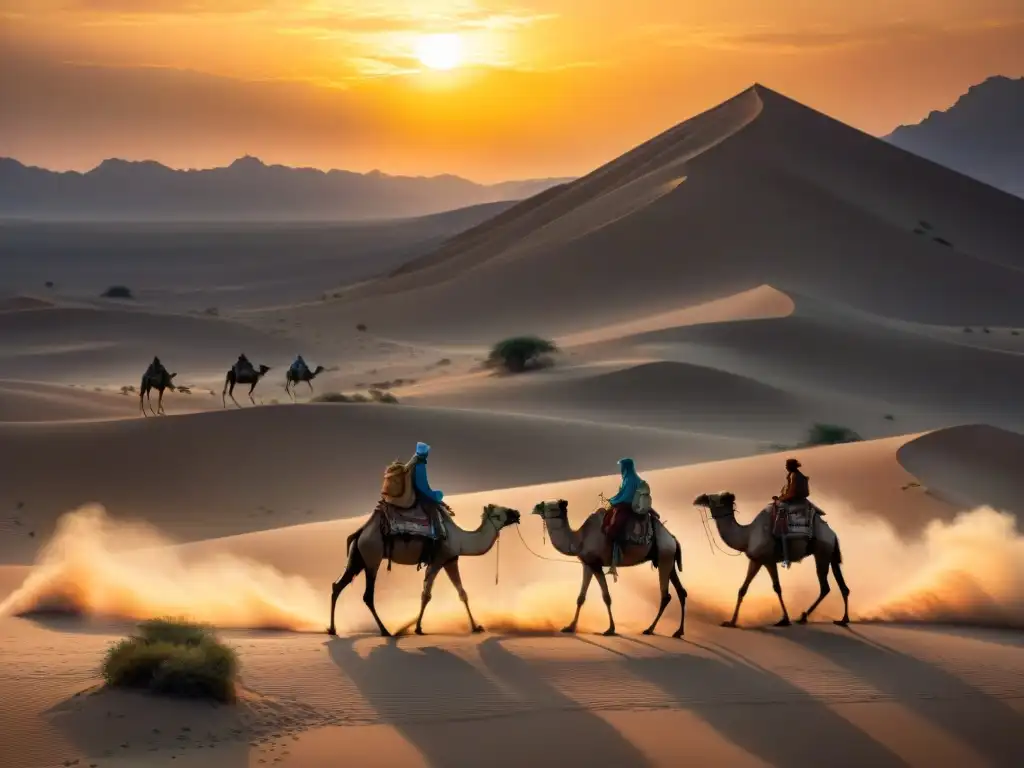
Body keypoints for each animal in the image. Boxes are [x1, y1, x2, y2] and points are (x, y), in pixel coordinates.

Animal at [327, 505, 520, 638]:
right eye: (499, 514)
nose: (517, 513)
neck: (460, 539)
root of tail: (360, 532)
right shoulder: (438, 560)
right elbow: (426, 595)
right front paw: (418, 628)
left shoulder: (450, 560)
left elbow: (462, 593)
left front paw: (476, 627)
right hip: (372, 556)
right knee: (367, 595)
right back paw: (386, 631)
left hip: (358, 557)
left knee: (337, 585)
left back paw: (332, 629)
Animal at [528, 499, 688, 638]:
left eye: (550, 505)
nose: (535, 507)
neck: (579, 540)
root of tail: (673, 539)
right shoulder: (588, 564)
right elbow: (581, 598)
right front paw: (570, 627)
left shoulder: (596, 565)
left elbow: (606, 597)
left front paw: (610, 629)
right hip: (668, 560)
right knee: (681, 592)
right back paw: (678, 632)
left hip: (664, 557)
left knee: (666, 595)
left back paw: (649, 629)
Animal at [692, 493, 851, 630]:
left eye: (713, 499)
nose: (698, 499)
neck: (747, 536)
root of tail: (833, 534)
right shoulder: (761, 560)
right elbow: (750, 589)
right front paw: (732, 621)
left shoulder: (764, 560)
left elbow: (770, 588)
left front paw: (732, 622)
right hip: (830, 554)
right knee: (842, 586)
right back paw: (843, 619)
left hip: (822, 552)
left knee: (825, 587)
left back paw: (804, 616)